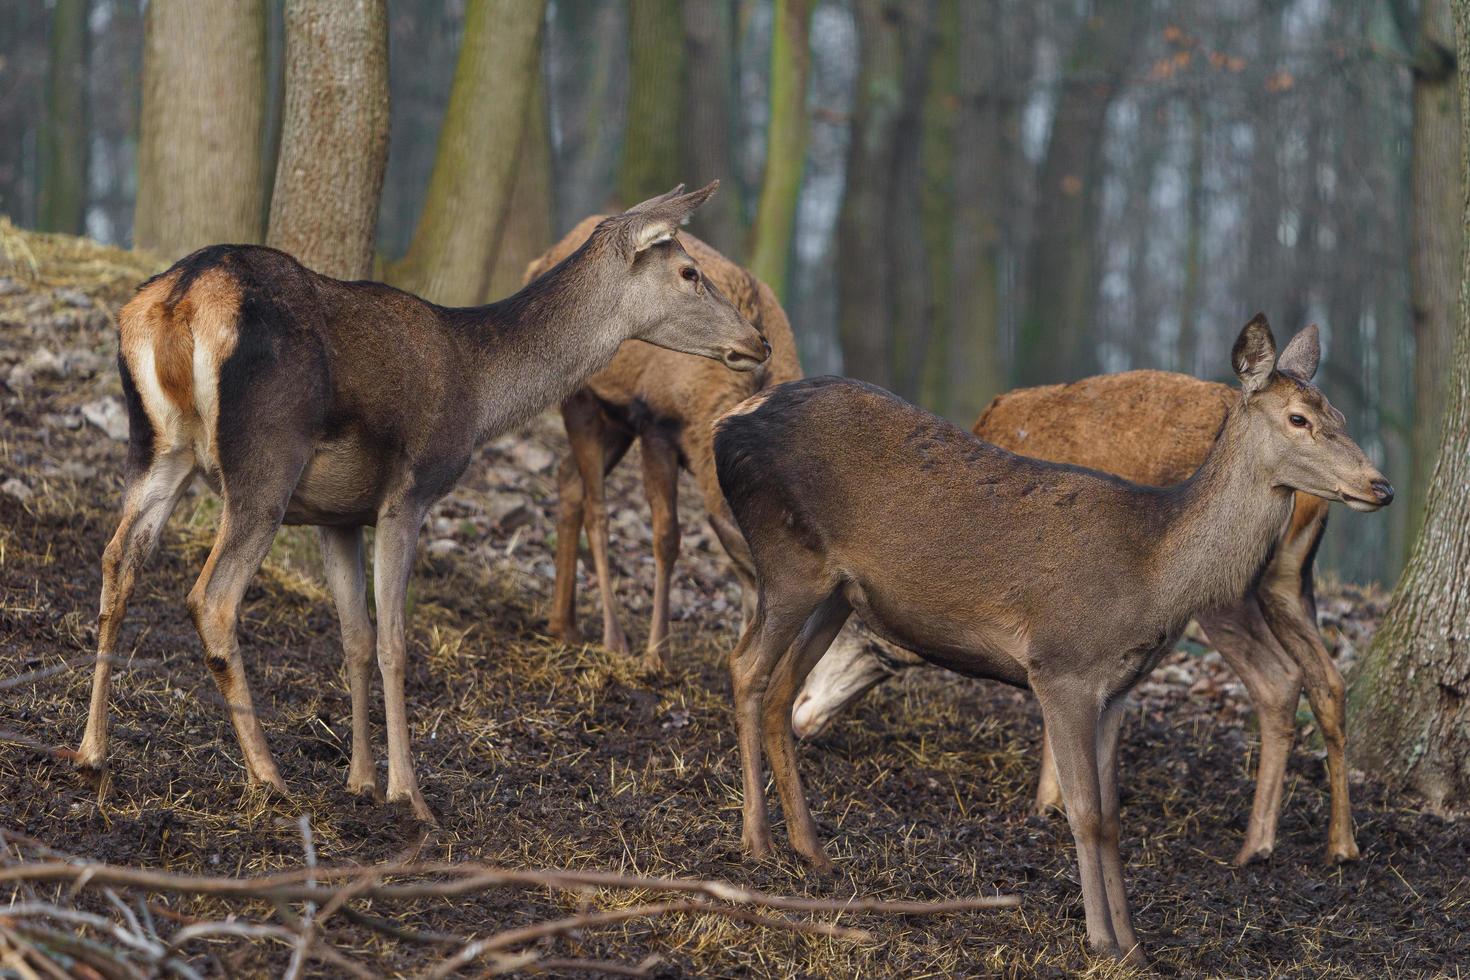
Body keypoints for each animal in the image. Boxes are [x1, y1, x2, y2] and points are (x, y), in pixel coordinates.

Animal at [71, 182, 770, 822]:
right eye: (689, 271)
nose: (758, 342)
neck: (479, 390)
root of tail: (178, 301)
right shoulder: (409, 492)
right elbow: (395, 641)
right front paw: (409, 795)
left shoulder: (336, 515)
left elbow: (354, 637)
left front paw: (359, 780)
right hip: (265, 460)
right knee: (211, 598)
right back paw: (268, 777)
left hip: (157, 445)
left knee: (116, 561)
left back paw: (92, 753)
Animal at [526, 218, 805, 669]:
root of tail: (538, 262)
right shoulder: (657, 423)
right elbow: (667, 537)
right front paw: (657, 653)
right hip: (581, 396)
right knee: (596, 506)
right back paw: (613, 638)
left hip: (617, 422)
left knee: (568, 478)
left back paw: (562, 624)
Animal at [793, 367, 1364, 863]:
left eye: (854, 620)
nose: (800, 712)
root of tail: (1313, 505)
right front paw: (1053, 800)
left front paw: (1047, 801)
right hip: (1289, 580)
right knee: (1328, 680)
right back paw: (1340, 844)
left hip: (1228, 595)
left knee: (1278, 679)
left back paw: (1256, 846)